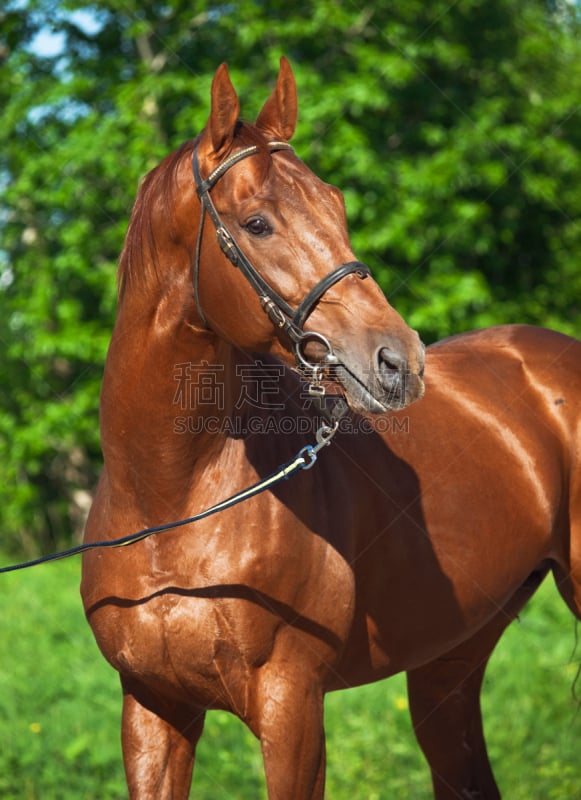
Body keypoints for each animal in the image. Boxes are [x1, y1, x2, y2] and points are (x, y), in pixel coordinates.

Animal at [82, 57, 580, 800]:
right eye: (257, 223)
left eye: (337, 205)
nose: (399, 360)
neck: (168, 506)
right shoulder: (151, 709)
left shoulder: (292, 709)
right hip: (451, 657)